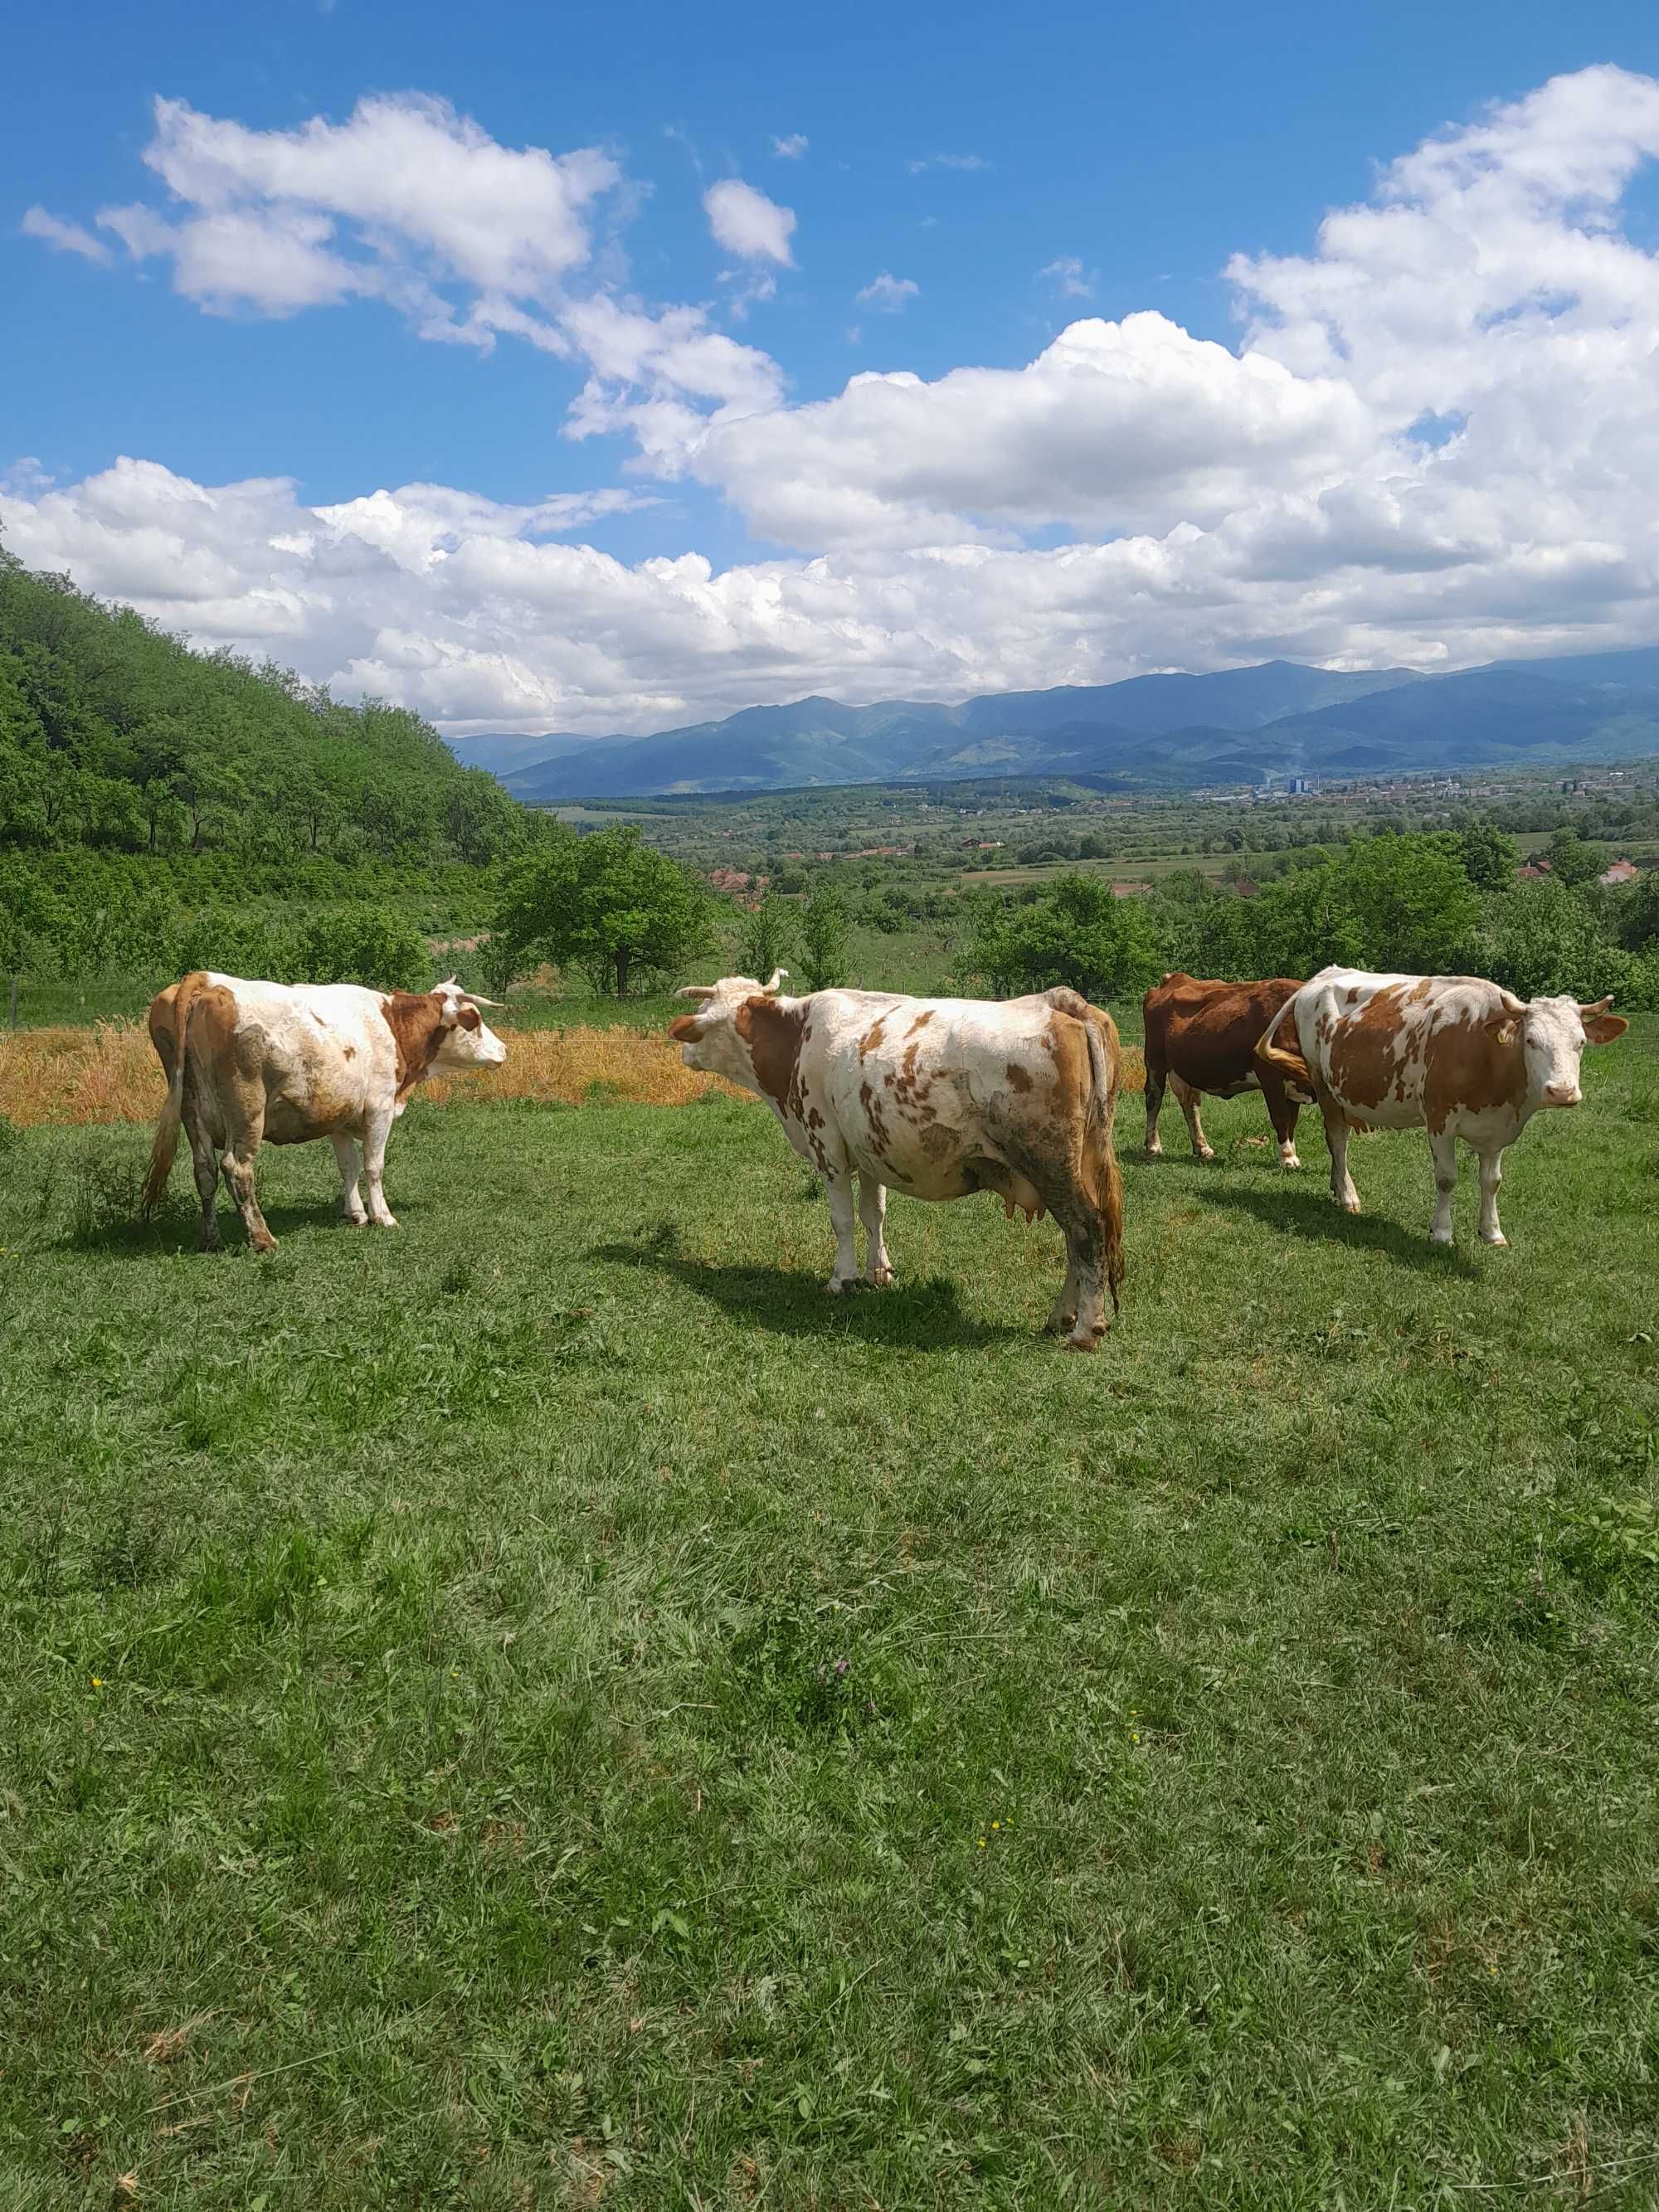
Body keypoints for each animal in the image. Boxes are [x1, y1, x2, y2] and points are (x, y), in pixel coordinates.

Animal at [140, 973, 506, 1256]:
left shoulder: (340, 1118)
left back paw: (210, 1238)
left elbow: (348, 1167)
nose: (503, 1049)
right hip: (246, 1111)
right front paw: (382, 1217)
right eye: (474, 1020)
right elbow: (373, 1166)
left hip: (193, 1112)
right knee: (237, 1168)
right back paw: (263, 1239)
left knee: (205, 1170)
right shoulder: (380, 1108)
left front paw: (355, 1214)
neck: (391, 1026)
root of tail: (206, 980)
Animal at [668, 973, 1132, 1344]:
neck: (797, 1036)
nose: (683, 1053)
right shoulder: (871, 1148)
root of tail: (1060, 1001)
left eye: (701, 1017)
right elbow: (874, 1213)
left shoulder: (826, 1145)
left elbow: (842, 1219)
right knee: (1076, 1239)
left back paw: (1084, 1329)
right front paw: (879, 1273)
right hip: (1078, 1164)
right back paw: (1061, 1317)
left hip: (1050, 1163)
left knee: (1086, 1230)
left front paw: (842, 1279)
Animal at [1141, 973, 1309, 1168]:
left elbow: (1292, 1121)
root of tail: (1174, 978)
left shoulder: (1293, 1082)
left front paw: (1292, 1153)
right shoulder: (1271, 1078)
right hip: (1155, 1060)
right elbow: (1281, 1118)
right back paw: (1153, 1146)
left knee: (1190, 1103)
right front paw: (1287, 1157)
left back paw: (1202, 1147)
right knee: (1154, 1098)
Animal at [1256, 969, 1627, 1247]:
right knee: (1338, 1139)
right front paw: (1442, 1233)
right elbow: (1447, 1179)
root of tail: (1323, 975)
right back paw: (1347, 1195)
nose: (1562, 1092)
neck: (1487, 1055)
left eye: (1581, 1042)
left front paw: (1492, 1232)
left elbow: (1492, 1181)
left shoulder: (1496, 1127)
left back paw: (1337, 1188)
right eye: (1531, 1040)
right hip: (1324, 1084)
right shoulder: (1439, 1120)